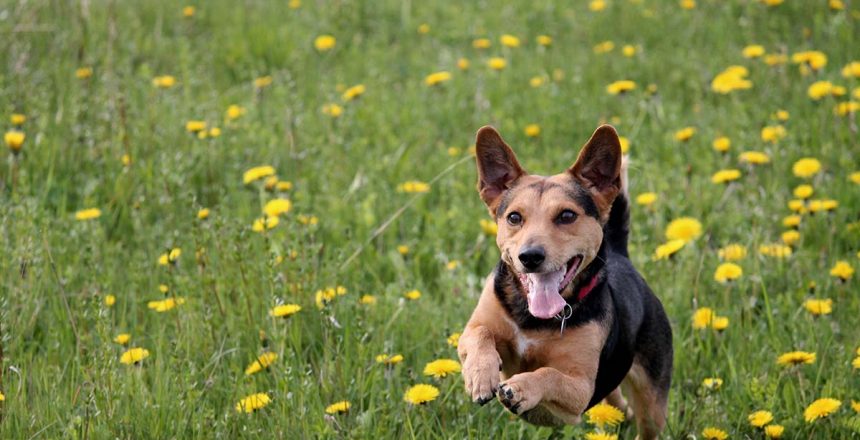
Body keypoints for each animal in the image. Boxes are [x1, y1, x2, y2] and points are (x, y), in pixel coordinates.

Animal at [456, 124, 672, 440]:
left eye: (567, 215)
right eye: (514, 217)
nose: (530, 257)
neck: (534, 319)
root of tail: (621, 256)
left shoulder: (580, 389)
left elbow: (549, 374)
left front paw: (521, 388)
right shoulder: (476, 330)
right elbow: (479, 334)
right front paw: (480, 376)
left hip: (652, 398)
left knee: (646, 423)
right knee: (618, 402)